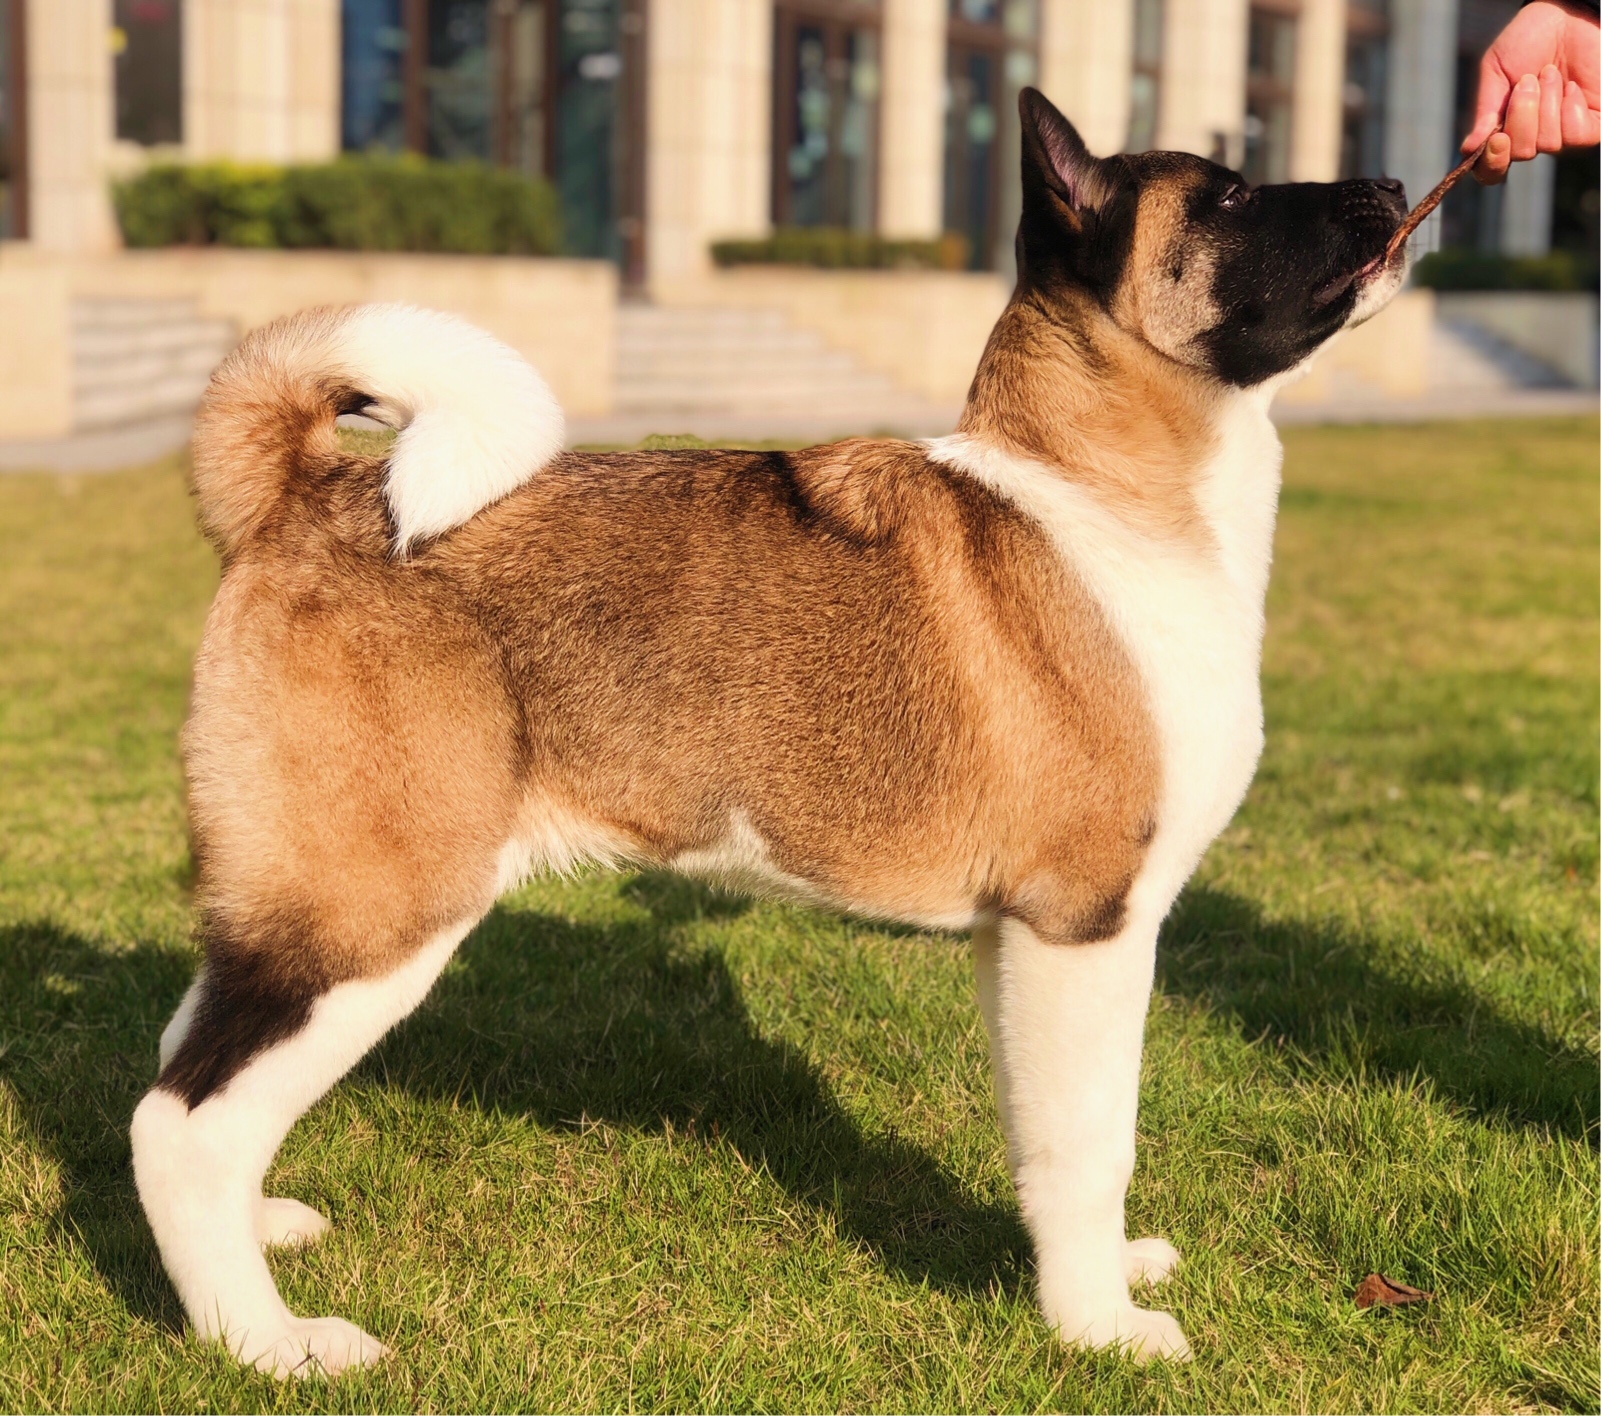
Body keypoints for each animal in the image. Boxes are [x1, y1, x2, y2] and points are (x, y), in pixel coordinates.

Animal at [131, 88, 1408, 1371]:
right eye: (1228, 196)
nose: (1397, 187)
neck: (1094, 496)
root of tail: (302, 493)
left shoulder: (1019, 943)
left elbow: (1038, 1138)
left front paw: (1077, 1282)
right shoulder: (1083, 925)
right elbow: (1092, 1144)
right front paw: (1096, 1329)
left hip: (289, 903)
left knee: (191, 1059)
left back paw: (257, 1234)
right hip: (373, 916)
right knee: (183, 1122)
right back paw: (268, 1342)